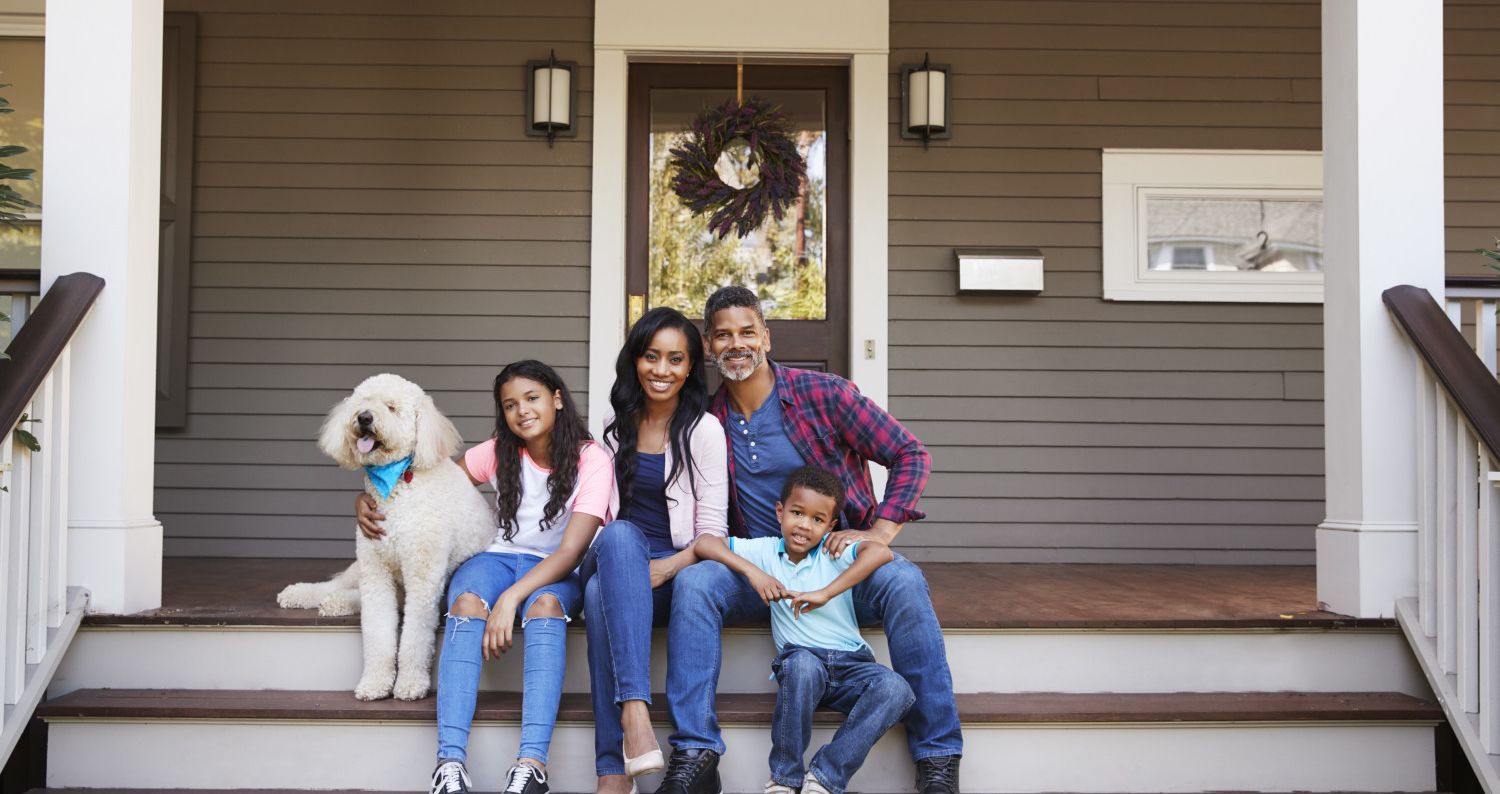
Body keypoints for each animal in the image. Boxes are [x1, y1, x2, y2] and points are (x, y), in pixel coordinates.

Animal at [276, 373, 492, 699]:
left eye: (391, 407)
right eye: (363, 401)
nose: (364, 417)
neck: (398, 484)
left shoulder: (422, 577)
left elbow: (414, 638)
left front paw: (410, 684)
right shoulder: (375, 570)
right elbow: (377, 632)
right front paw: (375, 682)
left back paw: (335, 603)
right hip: (360, 569)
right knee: (334, 585)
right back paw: (304, 595)